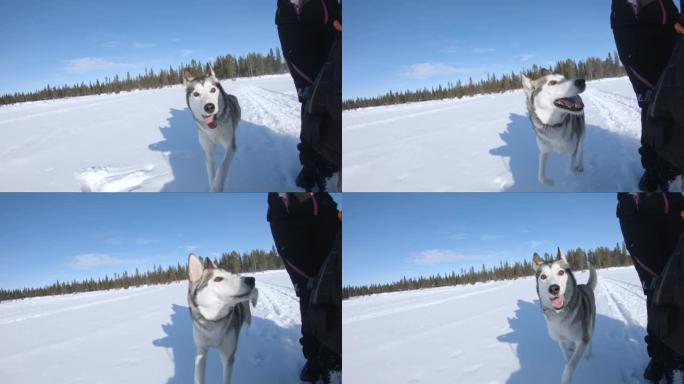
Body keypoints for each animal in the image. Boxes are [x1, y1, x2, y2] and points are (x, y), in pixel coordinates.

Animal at [187, 252, 260, 384]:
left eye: (230, 275)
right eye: (218, 279)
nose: (251, 279)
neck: (213, 321)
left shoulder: (228, 357)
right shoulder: (200, 352)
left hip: (247, 317)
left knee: (247, 324)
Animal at [532, 248, 596, 382]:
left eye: (561, 272)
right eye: (543, 276)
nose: (553, 288)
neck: (560, 314)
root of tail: (586, 286)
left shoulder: (582, 341)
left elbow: (570, 365)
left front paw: (566, 378)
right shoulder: (559, 341)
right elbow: (567, 358)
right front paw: (569, 356)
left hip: (590, 324)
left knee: (590, 339)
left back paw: (589, 355)